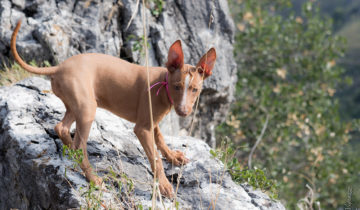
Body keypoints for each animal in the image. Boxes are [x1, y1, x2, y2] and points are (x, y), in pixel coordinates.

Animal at [10, 20, 217, 198]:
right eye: (176, 87)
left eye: (195, 89)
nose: (183, 111)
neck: (162, 83)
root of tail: (59, 67)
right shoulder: (142, 128)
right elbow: (156, 159)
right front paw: (165, 185)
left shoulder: (152, 121)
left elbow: (160, 141)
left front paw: (173, 157)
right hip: (87, 109)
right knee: (80, 145)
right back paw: (93, 178)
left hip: (77, 105)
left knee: (61, 128)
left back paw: (70, 151)